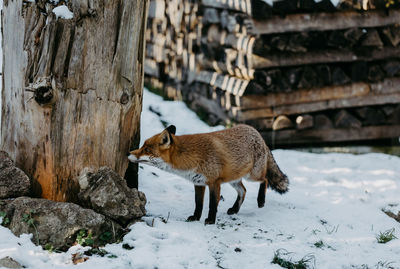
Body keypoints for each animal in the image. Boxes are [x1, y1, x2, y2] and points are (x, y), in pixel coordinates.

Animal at [128, 124, 288, 223]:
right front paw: (195, 217)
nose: (128, 153)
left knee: (265, 180)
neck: (190, 159)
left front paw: (210, 221)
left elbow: (212, 204)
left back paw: (261, 200)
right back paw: (235, 209)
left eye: (146, 149)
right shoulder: (198, 183)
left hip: (252, 175)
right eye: (142, 146)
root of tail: (256, 132)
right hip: (234, 179)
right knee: (244, 191)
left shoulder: (214, 182)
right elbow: (198, 204)